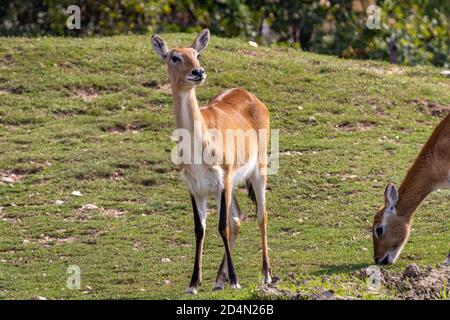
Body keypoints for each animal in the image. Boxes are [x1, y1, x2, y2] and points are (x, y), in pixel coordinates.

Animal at [151, 29, 272, 292]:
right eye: (174, 56)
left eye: (196, 53)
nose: (198, 72)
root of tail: (250, 95)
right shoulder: (195, 188)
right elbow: (200, 229)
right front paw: (193, 284)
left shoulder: (222, 180)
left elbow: (221, 226)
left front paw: (235, 281)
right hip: (229, 186)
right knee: (237, 218)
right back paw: (218, 280)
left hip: (257, 171)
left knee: (261, 215)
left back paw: (266, 274)